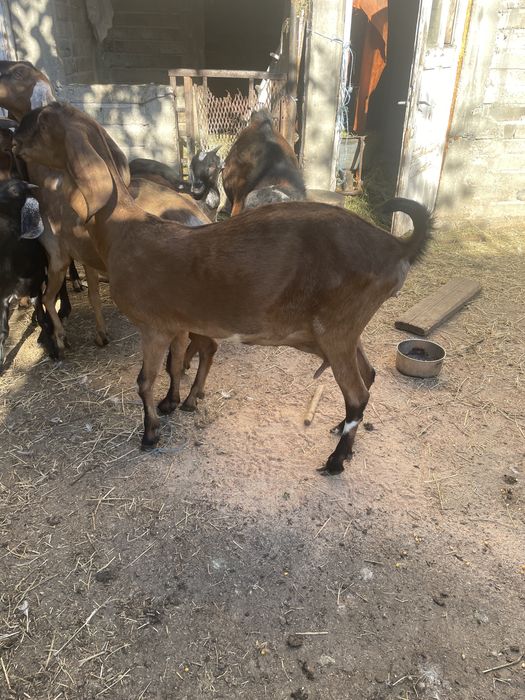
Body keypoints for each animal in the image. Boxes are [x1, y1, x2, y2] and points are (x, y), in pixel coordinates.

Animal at [15, 102, 431, 474]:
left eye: (42, 121)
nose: (15, 137)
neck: (125, 230)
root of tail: (396, 247)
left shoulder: (154, 326)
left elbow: (145, 381)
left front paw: (150, 434)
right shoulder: (178, 323)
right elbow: (177, 364)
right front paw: (174, 404)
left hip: (336, 328)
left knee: (357, 393)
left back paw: (335, 461)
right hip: (334, 330)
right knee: (369, 374)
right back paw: (340, 434)